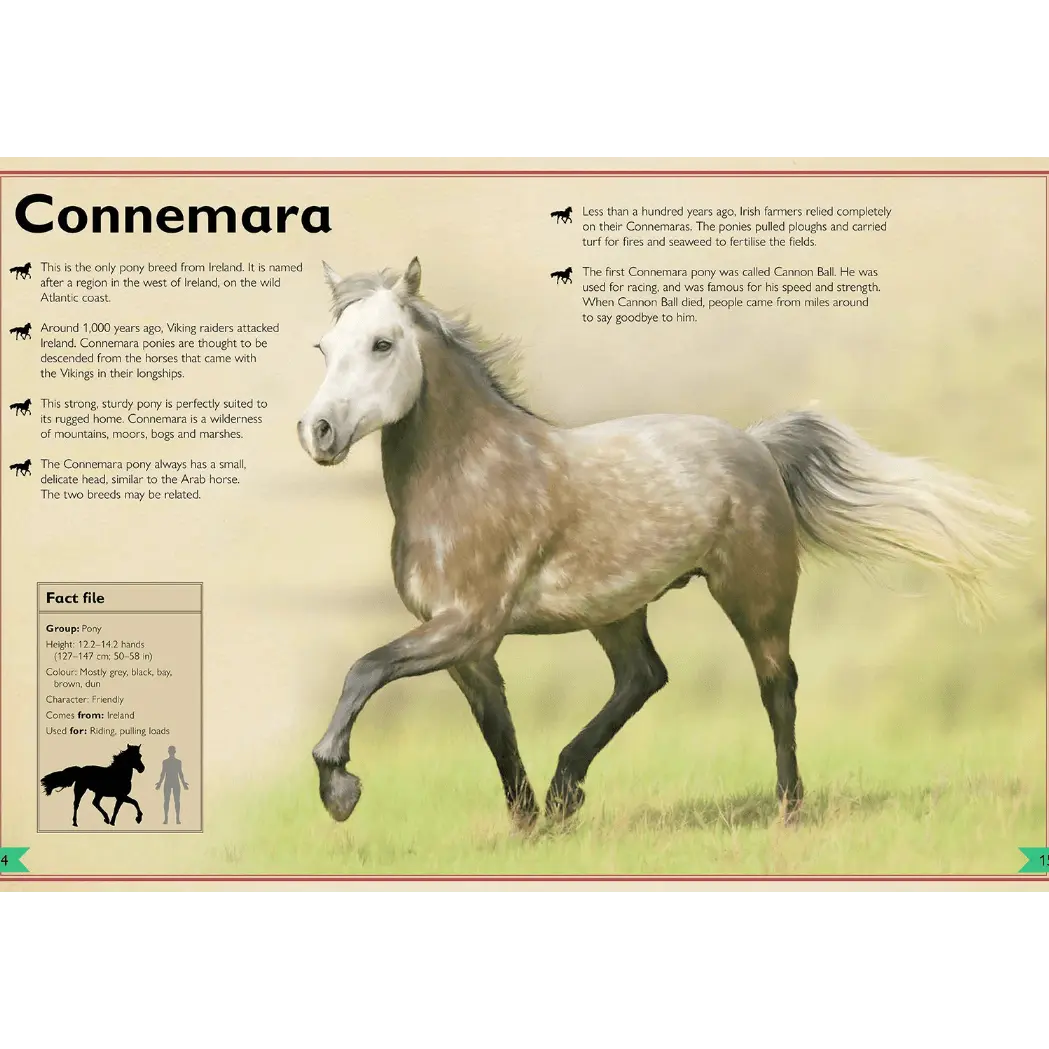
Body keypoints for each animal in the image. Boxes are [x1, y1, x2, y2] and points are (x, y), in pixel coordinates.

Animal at [297, 258, 1025, 829]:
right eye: (325, 347)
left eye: (383, 343)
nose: (319, 431)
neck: (469, 476)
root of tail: (755, 444)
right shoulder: (466, 647)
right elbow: (495, 727)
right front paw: (528, 824)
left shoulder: (467, 625)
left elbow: (364, 668)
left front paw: (338, 790)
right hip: (616, 609)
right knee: (644, 676)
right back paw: (566, 792)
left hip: (754, 594)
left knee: (777, 686)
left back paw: (788, 809)